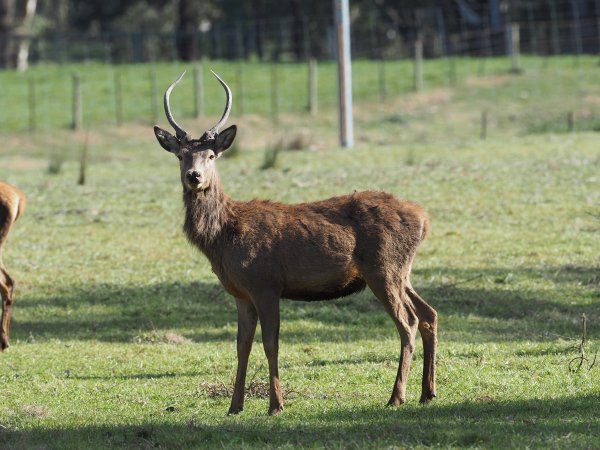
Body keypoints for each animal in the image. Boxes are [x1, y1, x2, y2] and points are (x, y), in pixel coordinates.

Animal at [152, 73, 438, 414]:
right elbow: (241, 345)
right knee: (429, 314)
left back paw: (396, 396)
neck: (222, 239)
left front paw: (276, 404)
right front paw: (235, 406)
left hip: (384, 268)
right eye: (181, 155)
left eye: (211, 155)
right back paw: (427, 393)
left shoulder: (265, 283)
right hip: (401, 271)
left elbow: (270, 343)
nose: (194, 176)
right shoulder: (241, 293)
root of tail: (423, 218)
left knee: (408, 322)